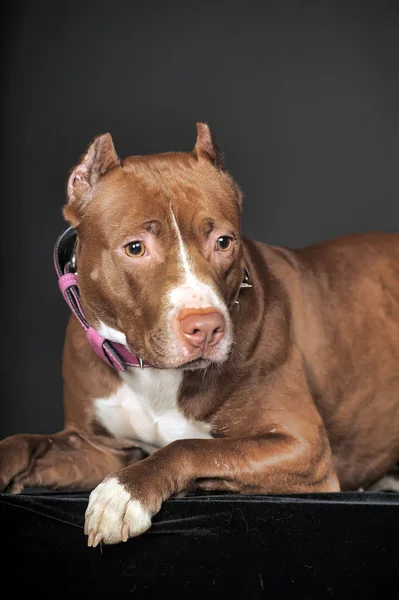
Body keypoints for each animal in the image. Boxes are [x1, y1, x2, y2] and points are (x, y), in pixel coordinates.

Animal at [0, 124, 399, 548]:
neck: (155, 373)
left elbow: (191, 447)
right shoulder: (102, 448)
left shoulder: (302, 446)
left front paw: (123, 493)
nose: (206, 327)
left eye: (223, 242)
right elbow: (27, 442)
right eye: (135, 248)